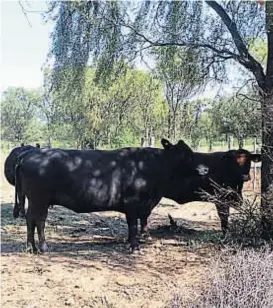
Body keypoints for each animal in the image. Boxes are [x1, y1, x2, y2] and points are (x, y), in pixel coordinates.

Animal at [14, 139, 196, 253]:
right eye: (183, 154)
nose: (200, 168)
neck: (147, 165)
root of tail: (28, 154)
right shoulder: (132, 204)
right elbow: (133, 225)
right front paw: (135, 247)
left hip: (34, 201)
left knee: (30, 220)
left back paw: (31, 247)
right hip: (40, 200)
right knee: (39, 220)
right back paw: (43, 247)